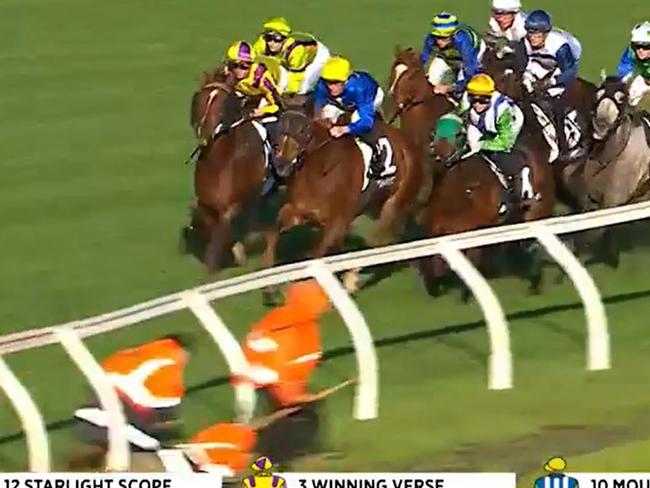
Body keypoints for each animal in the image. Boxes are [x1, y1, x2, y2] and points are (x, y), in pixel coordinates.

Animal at [182, 69, 274, 274]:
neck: (219, 163)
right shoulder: (206, 205)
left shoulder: (228, 209)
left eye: (224, 104)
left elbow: (213, 250)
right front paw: (238, 252)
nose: (204, 136)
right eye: (199, 100)